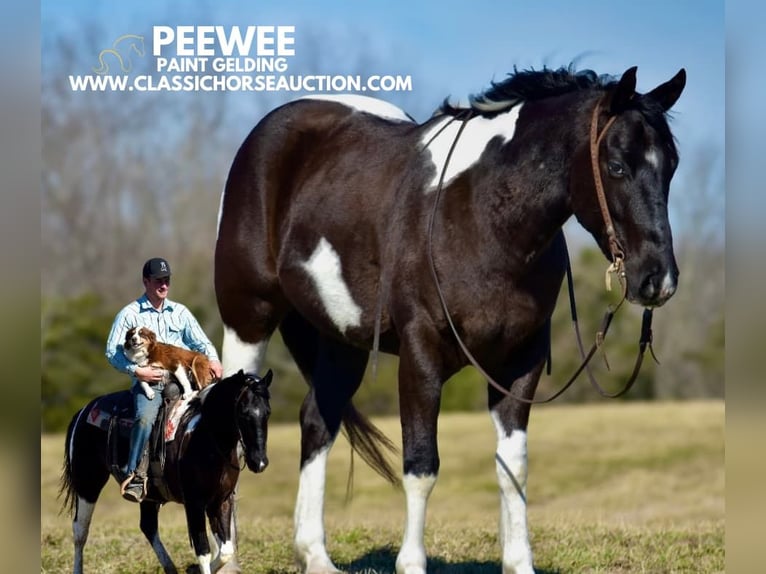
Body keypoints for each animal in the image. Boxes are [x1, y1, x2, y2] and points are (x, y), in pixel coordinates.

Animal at [61, 372, 274, 572]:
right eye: (243, 413)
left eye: (267, 413)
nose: (260, 462)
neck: (205, 438)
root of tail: (83, 411)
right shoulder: (194, 503)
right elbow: (203, 551)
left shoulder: (221, 501)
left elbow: (226, 551)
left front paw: (192, 569)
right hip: (87, 482)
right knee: (80, 530)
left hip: (148, 495)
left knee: (147, 526)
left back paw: (170, 567)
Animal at [214, 65, 684, 572]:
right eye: (616, 166)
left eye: (671, 166)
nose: (658, 279)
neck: (482, 215)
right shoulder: (421, 356)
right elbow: (422, 466)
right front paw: (411, 563)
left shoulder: (520, 363)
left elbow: (513, 466)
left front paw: (519, 562)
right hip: (248, 317)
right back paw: (228, 560)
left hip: (344, 341)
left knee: (318, 422)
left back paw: (316, 556)